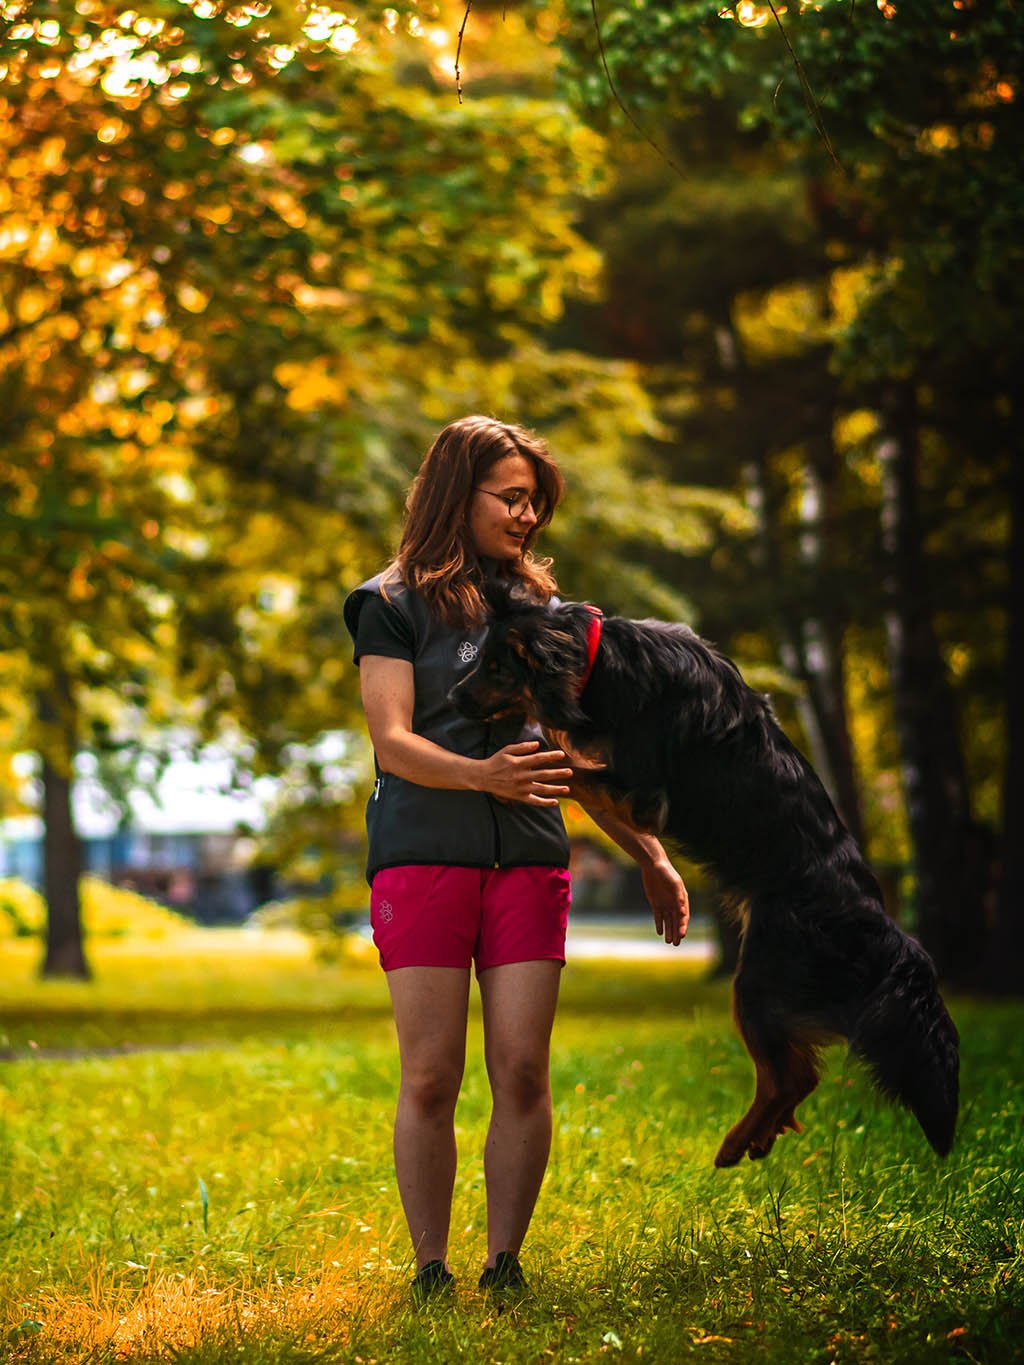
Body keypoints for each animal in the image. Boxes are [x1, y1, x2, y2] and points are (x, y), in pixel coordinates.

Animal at [456, 586, 961, 1162]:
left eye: (497, 667)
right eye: (482, 660)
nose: (451, 698)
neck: (601, 660)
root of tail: (887, 935)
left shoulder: (643, 793)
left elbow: (564, 758)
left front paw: (520, 760)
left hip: (759, 980)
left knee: (790, 1077)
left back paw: (736, 1143)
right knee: (797, 1078)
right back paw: (756, 1139)